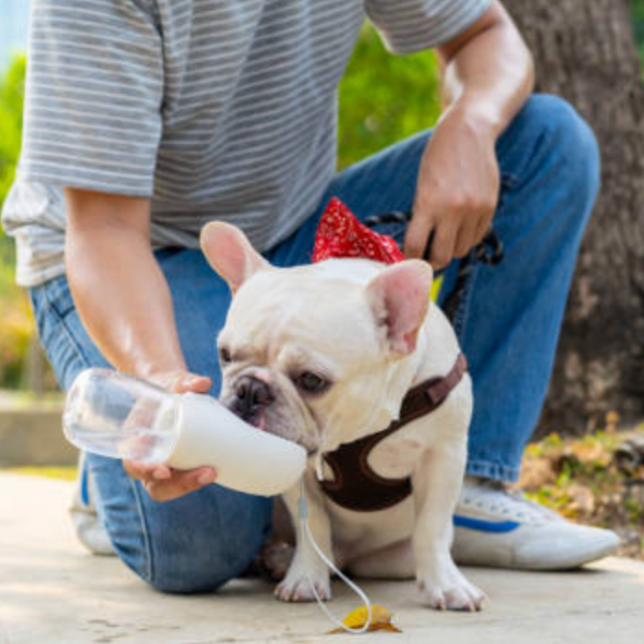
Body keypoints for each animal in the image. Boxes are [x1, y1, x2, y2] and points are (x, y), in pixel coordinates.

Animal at [200, 224, 484, 612]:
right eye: (225, 355)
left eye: (311, 380)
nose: (249, 390)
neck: (359, 431)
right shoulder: (297, 470)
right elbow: (313, 525)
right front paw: (306, 578)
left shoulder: (443, 454)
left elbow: (431, 525)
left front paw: (448, 585)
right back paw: (279, 558)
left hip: (392, 559)